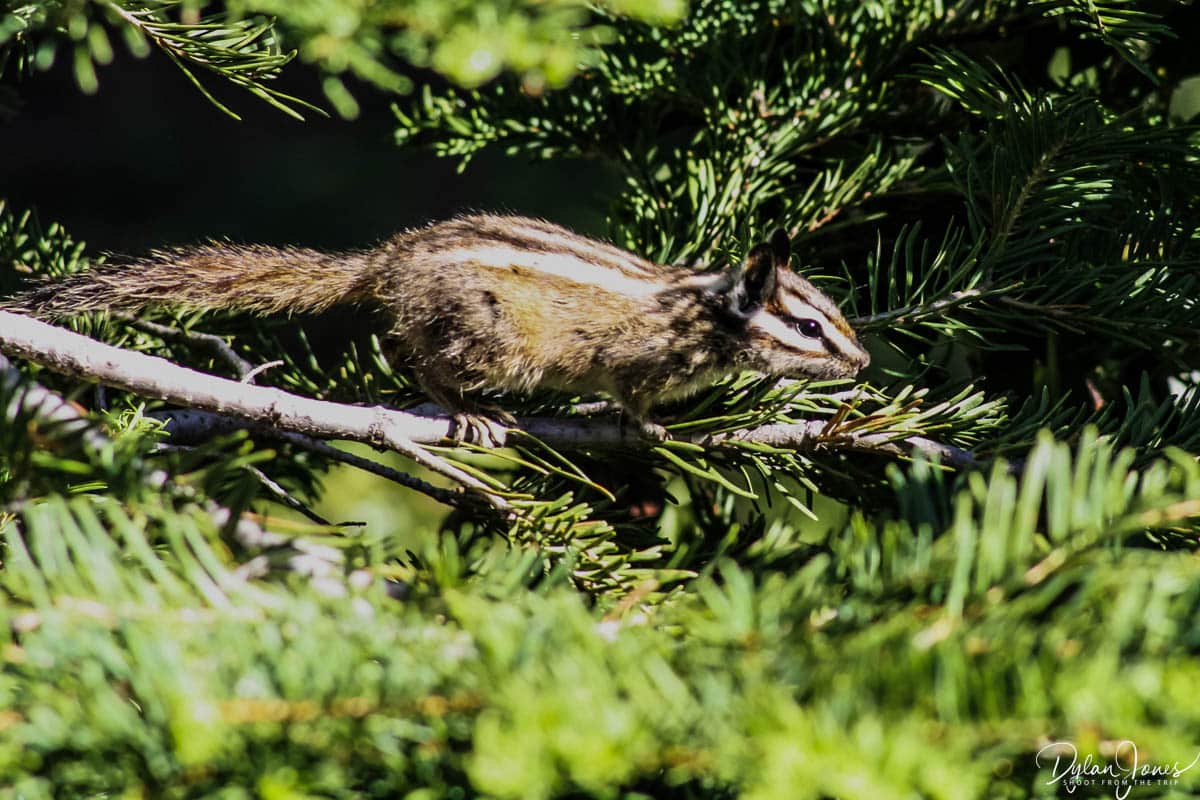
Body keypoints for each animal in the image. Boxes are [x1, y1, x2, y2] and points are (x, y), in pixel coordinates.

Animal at [6, 214, 869, 442]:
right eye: (807, 326)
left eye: (836, 318)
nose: (861, 364)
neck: (705, 307)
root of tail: (387, 261)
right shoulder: (639, 357)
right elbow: (633, 398)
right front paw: (653, 426)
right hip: (489, 336)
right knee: (410, 354)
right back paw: (467, 411)